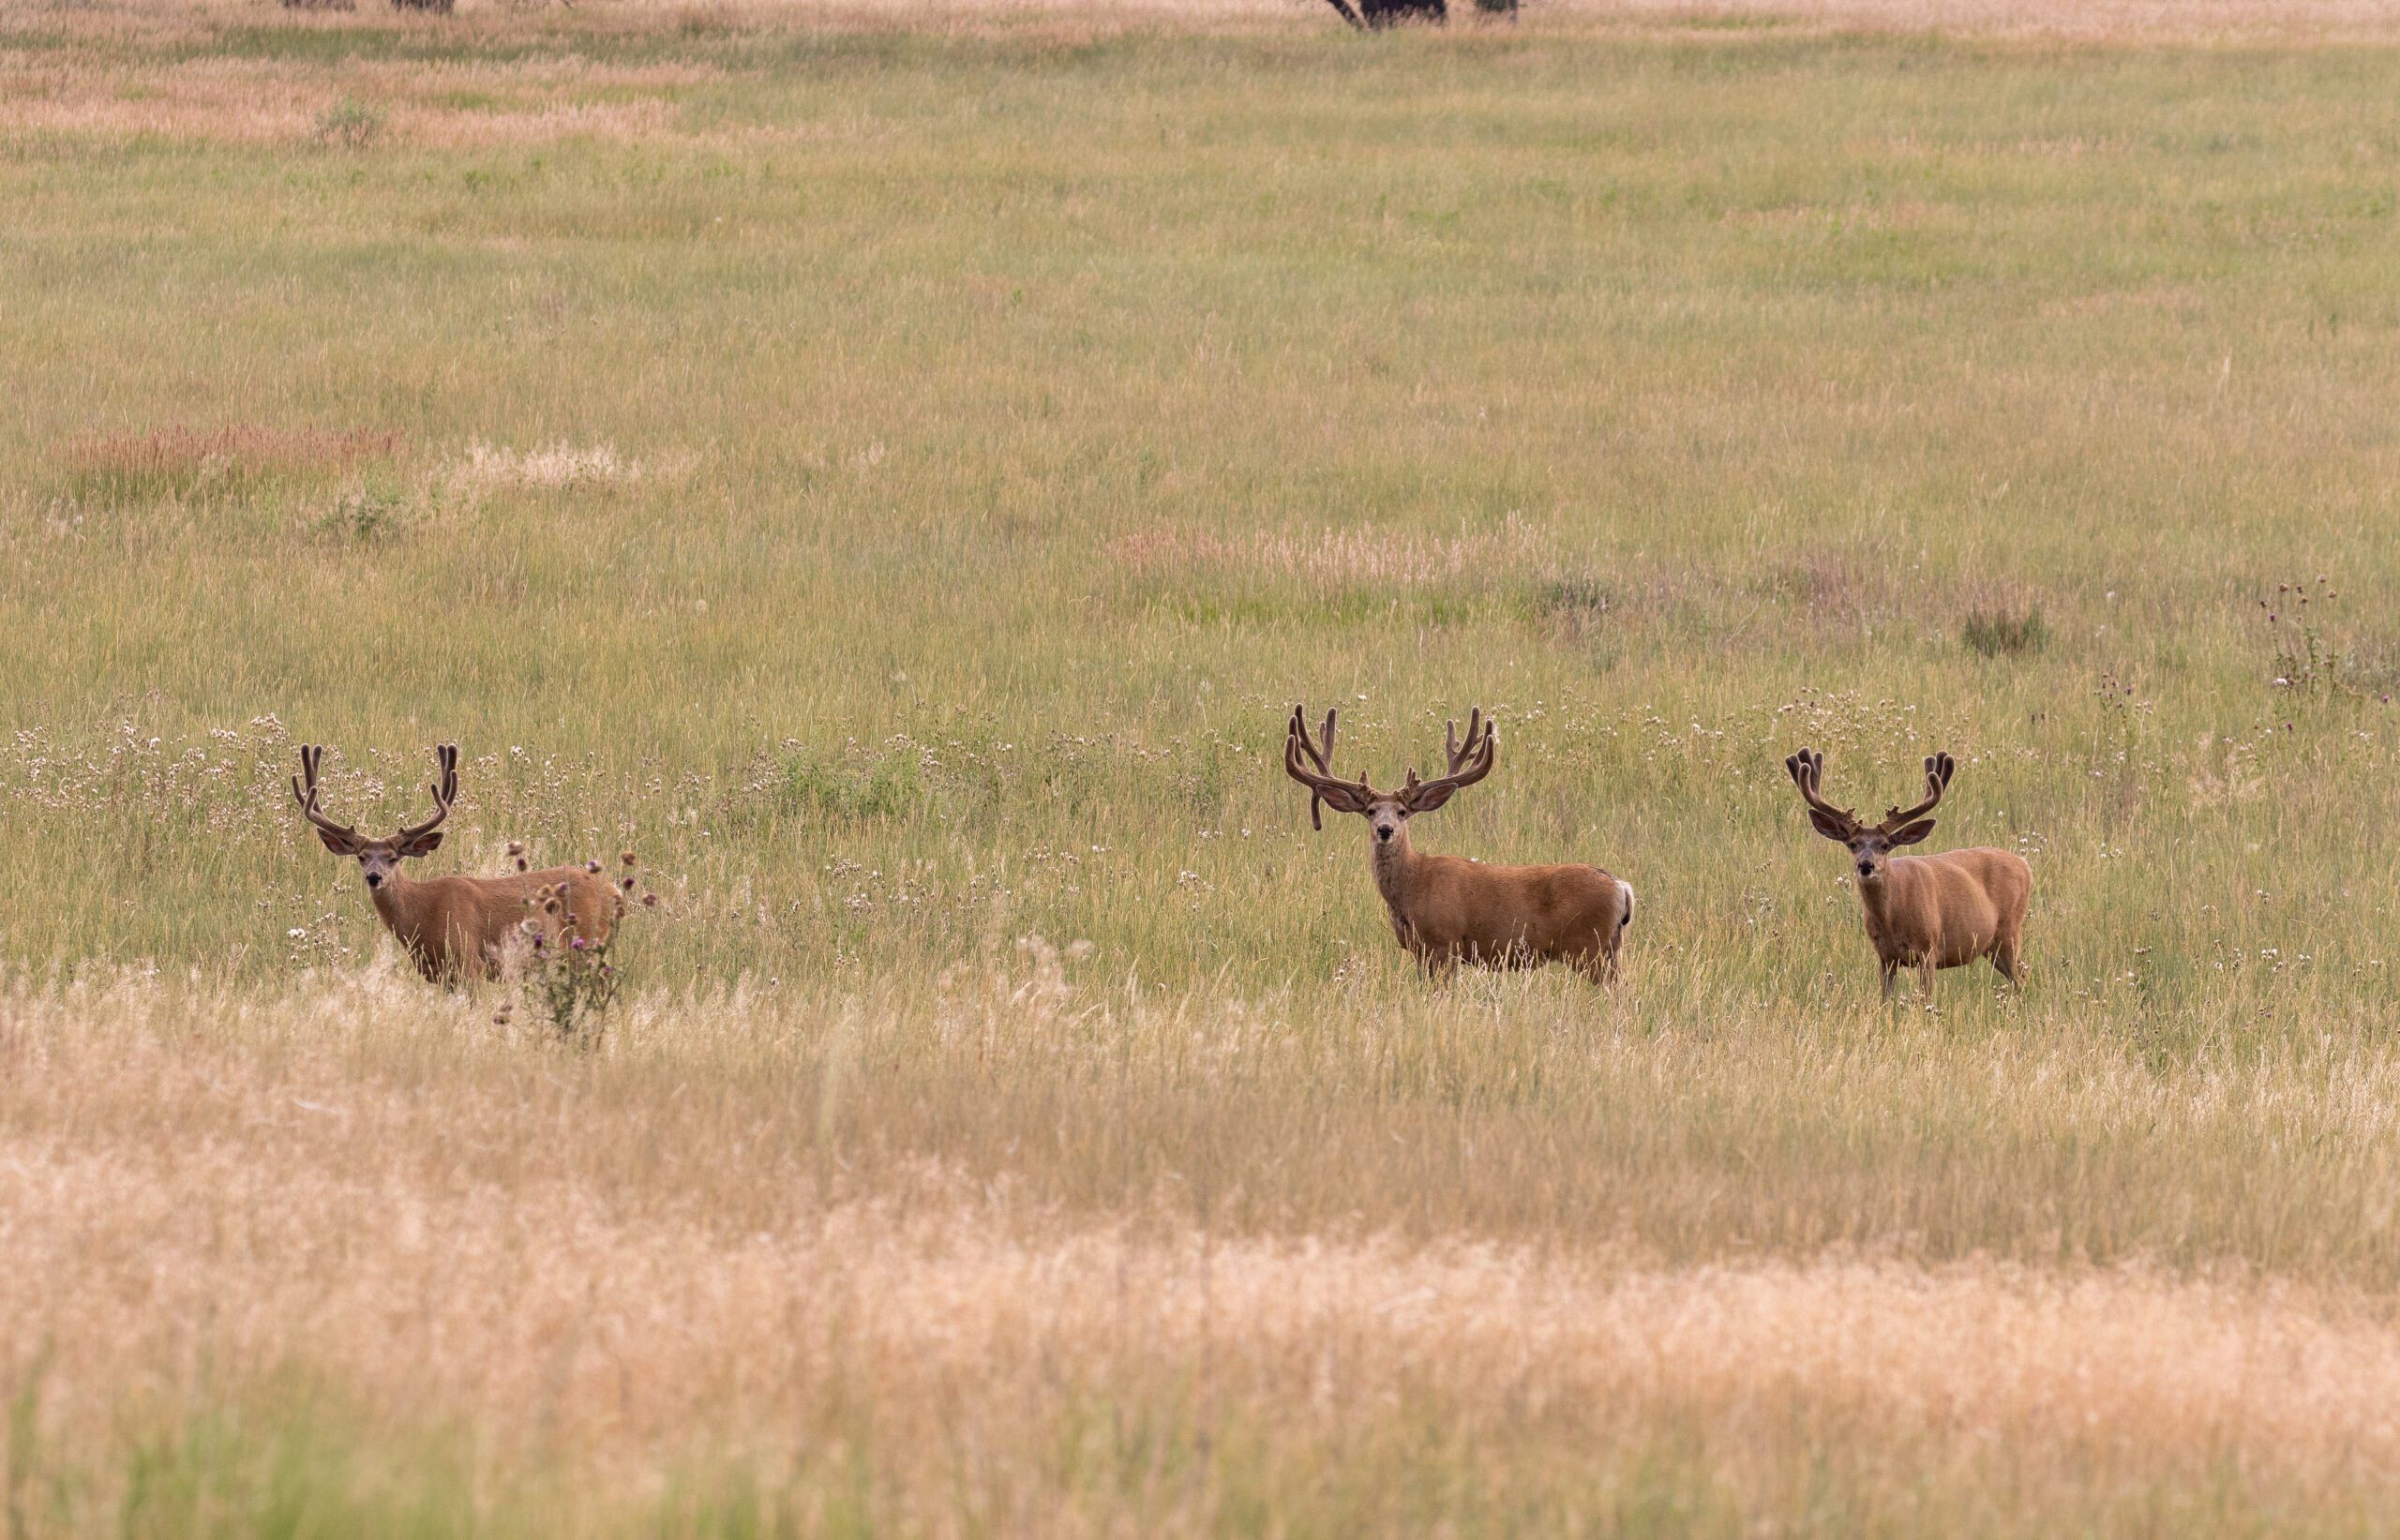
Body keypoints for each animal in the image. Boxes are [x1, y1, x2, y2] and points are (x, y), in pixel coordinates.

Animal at [292, 743, 620, 983]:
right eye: (361, 857)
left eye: (393, 858)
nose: (374, 876)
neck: (423, 914)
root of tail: (614, 890)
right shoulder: (436, 976)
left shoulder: (470, 963)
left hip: (586, 943)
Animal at [1283, 704, 1634, 983]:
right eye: (1370, 811)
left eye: (1402, 812)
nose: (1385, 829)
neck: (1412, 887)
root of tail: (1621, 887)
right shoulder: (1419, 950)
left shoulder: (1444, 941)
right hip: (1610, 947)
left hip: (1587, 946)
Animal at [1784, 748, 2031, 1000]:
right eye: (1852, 844)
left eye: (1884, 845)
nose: (1866, 865)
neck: (1892, 918)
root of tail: (2024, 864)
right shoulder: (1885, 956)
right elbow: (1885, 1000)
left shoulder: (1928, 947)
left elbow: (1925, 999)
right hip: (1991, 947)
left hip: (2010, 929)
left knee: (2021, 977)